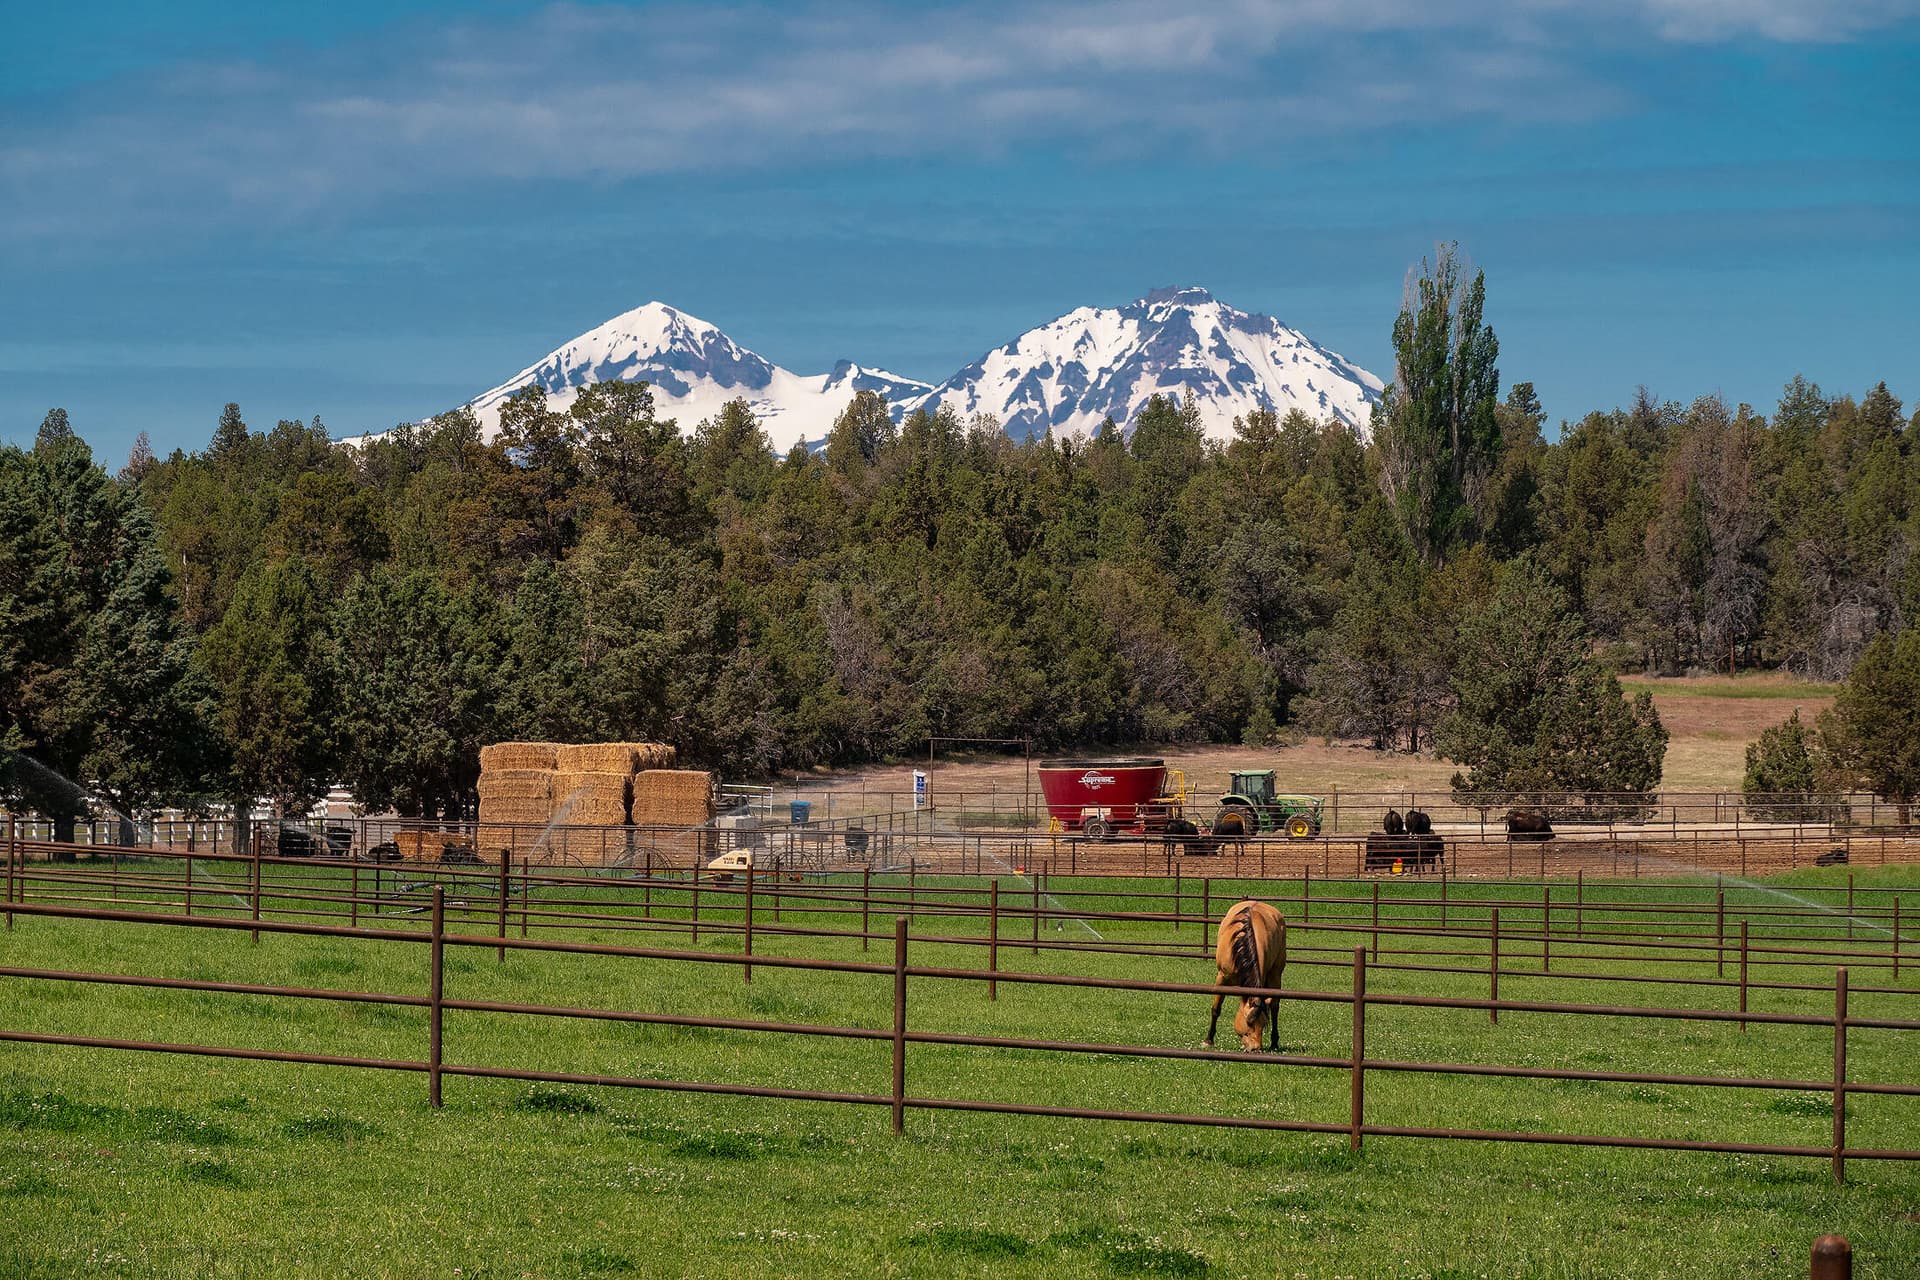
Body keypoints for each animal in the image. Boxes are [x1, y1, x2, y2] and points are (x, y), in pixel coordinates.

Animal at [1205, 900, 1287, 1051]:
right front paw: (1208, 1040)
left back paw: (1274, 1043)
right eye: (1249, 1022)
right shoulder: (1222, 978)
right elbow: (1216, 1009)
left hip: (1276, 975)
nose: (1256, 1049)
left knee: (1274, 1007)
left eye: (1263, 1024)